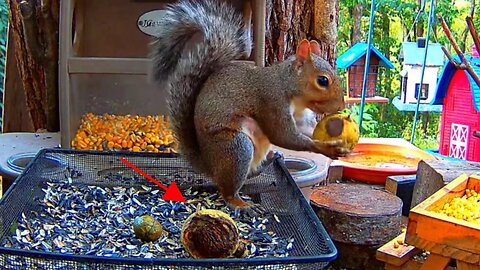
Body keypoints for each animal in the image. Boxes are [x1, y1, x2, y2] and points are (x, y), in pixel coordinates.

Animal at [150, 0, 348, 213]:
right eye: (322, 80)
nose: (340, 106)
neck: (291, 91)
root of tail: (208, 164)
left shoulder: (300, 116)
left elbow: (306, 130)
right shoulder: (271, 102)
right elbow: (284, 136)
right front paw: (326, 148)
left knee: (251, 173)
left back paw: (270, 159)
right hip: (236, 148)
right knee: (228, 190)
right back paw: (240, 203)